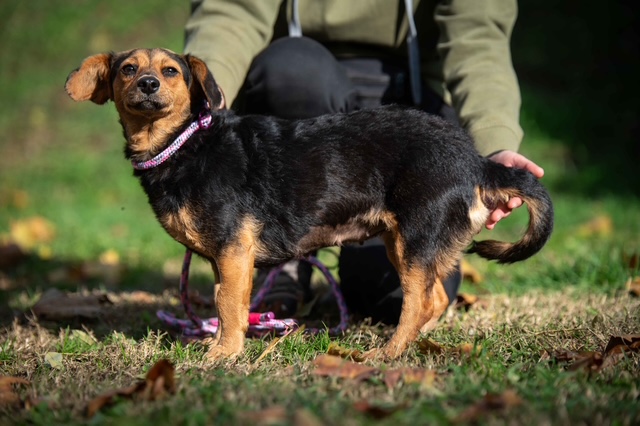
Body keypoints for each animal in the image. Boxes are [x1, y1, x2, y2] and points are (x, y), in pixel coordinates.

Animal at [65, 48, 553, 361]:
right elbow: (229, 303)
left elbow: (228, 306)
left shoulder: (233, 249)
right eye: (128, 68)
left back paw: (388, 352)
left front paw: (223, 356)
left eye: (170, 71)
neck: (183, 144)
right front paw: (221, 345)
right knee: (432, 301)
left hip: (416, 237)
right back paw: (412, 343)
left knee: (421, 301)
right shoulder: (225, 258)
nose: (147, 84)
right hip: (401, 241)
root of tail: (476, 162)